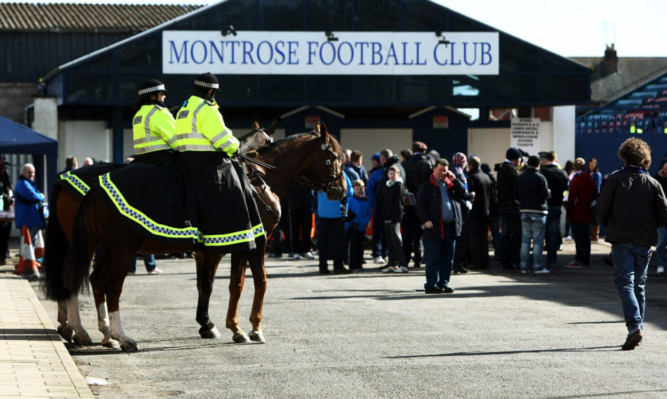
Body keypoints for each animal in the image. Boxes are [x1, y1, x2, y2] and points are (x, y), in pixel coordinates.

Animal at [42, 122, 348, 350]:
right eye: (334, 158)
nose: (342, 191)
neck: (258, 178)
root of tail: (91, 186)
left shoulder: (219, 248)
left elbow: (216, 285)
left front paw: (218, 326)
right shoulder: (254, 243)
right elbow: (255, 283)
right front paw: (251, 328)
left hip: (102, 246)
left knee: (93, 280)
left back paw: (98, 332)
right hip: (114, 248)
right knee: (103, 284)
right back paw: (109, 335)